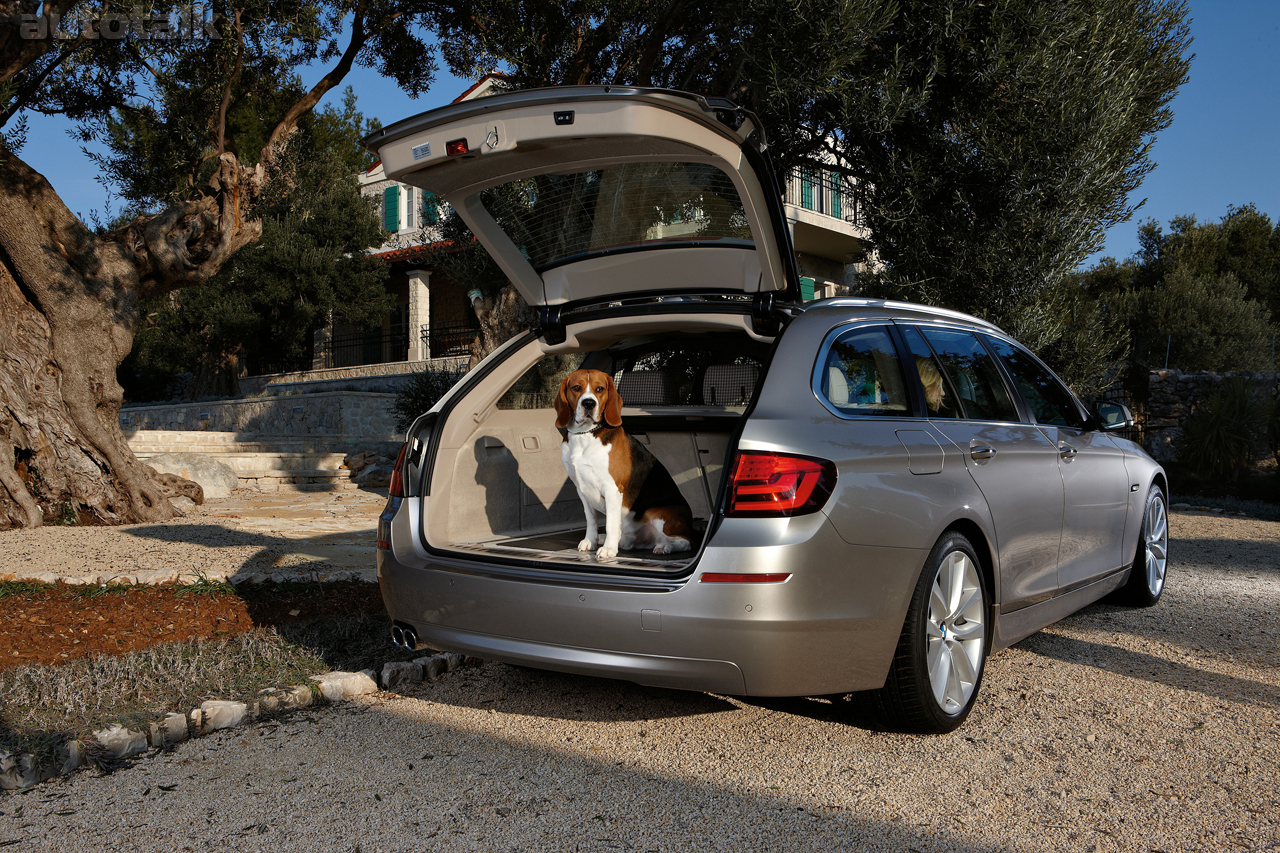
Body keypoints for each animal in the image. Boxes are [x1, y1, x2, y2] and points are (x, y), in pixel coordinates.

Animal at [555, 366, 696, 558]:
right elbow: (591, 520)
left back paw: (665, 547)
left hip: (658, 515)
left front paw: (608, 549)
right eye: (576, 387)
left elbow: (611, 523)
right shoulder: (581, 489)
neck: (586, 434)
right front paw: (590, 541)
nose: (589, 404)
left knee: (686, 542)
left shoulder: (612, 488)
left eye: (600, 389)